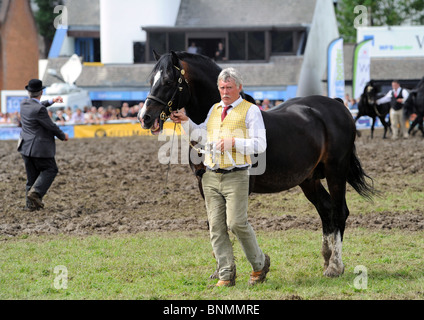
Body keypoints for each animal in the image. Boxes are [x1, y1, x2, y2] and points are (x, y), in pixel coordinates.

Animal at [137, 51, 372, 276]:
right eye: (151, 79)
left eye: (168, 80)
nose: (144, 117)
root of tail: (337, 104)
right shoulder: (204, 183)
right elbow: (215, 224)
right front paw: (221, 271)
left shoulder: (242, 186)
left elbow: (233, 224)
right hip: (309, 179)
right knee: (326, 210)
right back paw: (326, 260)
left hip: (336, 171)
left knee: (339, 211)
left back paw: (335, 266)